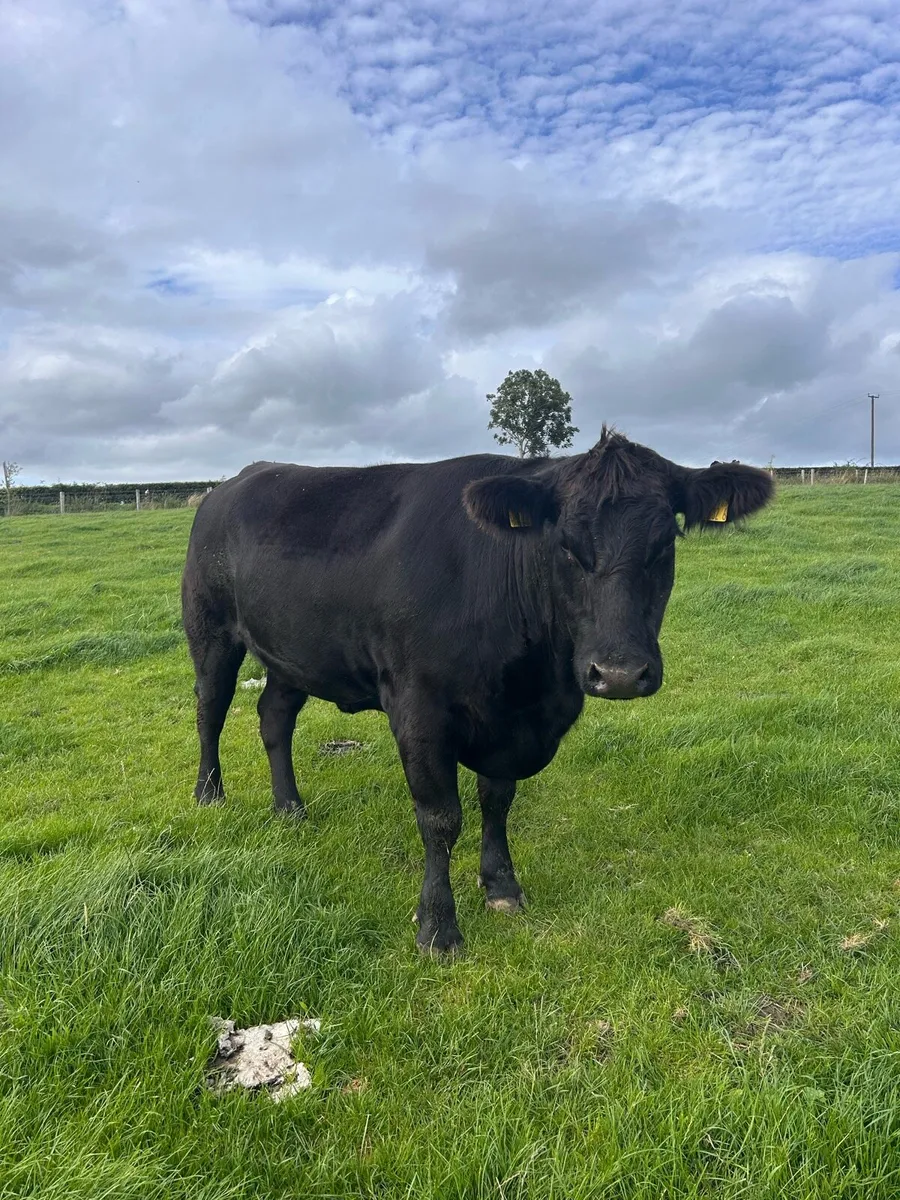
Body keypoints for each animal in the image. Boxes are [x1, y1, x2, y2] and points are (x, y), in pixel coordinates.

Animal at [181, 428, 773, 955]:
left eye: (665, 542)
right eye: (565, 545)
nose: (620, 673)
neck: (534, 687)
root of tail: (237, 479)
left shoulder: (509, 723)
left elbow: (498, 800)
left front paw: (502, 887)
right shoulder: (418, 708)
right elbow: (441, 819)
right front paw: (437, 927)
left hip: (291, 653)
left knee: (274, 715)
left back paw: (289, 807)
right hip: (209, 628)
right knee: (210, 709)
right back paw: (209, 793)